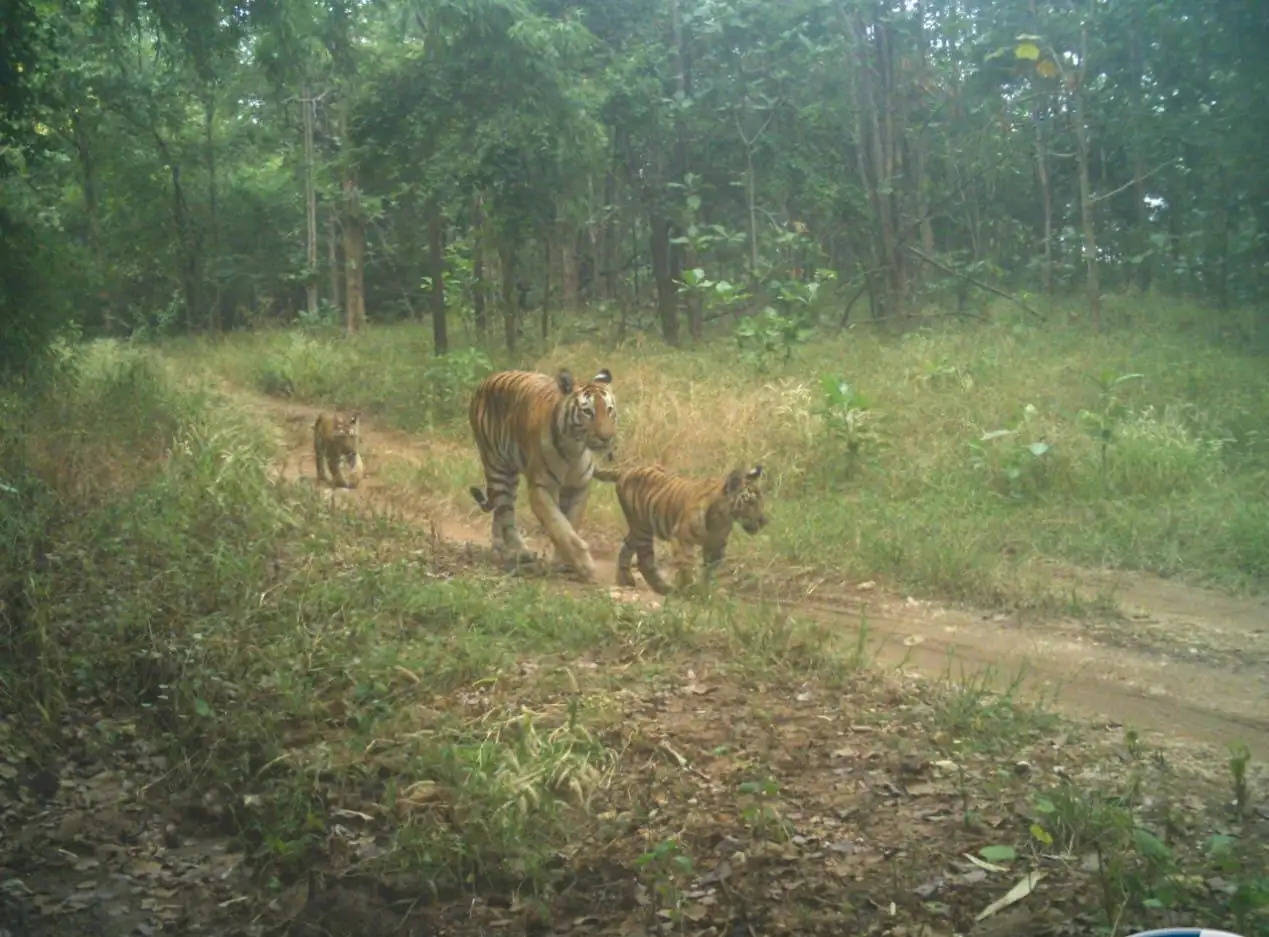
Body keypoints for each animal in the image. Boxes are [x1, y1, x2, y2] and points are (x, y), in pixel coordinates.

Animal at [472, 365, 619, 576]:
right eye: (587, 411)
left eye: (609, 410)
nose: (607, 438)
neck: (574, 449)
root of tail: (486, 380)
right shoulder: (541, 487)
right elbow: (559, 526)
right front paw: (584, 565)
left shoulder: (578, 486)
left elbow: (571, 521)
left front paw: (564, 562)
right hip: (497, 466)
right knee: (506, 514)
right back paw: (520, 552)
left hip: (511, 477)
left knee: (500, 511)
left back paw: (500, 549)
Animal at [596, 464, 766, 594]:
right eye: (750, 502)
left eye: (762, 500)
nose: (764, 521)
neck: (722, 519)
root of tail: (625, 469)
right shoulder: (681, 538)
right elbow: (686, 565)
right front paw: (688, 589)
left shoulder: (716, 546)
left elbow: (708, 570)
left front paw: (703, 590)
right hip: (643, 528)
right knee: (645, 561)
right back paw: (663, 588)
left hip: (640, 527)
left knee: (627, 544)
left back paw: (625, 580)